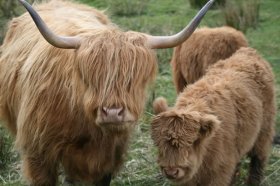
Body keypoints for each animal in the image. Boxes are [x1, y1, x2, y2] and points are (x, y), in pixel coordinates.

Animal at [152, 47, 274, 186]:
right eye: (158, 143)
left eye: (191, 142)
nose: (171, 172)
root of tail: (247, 51)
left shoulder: (219, 172)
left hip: (264, 131)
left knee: (258, 158)